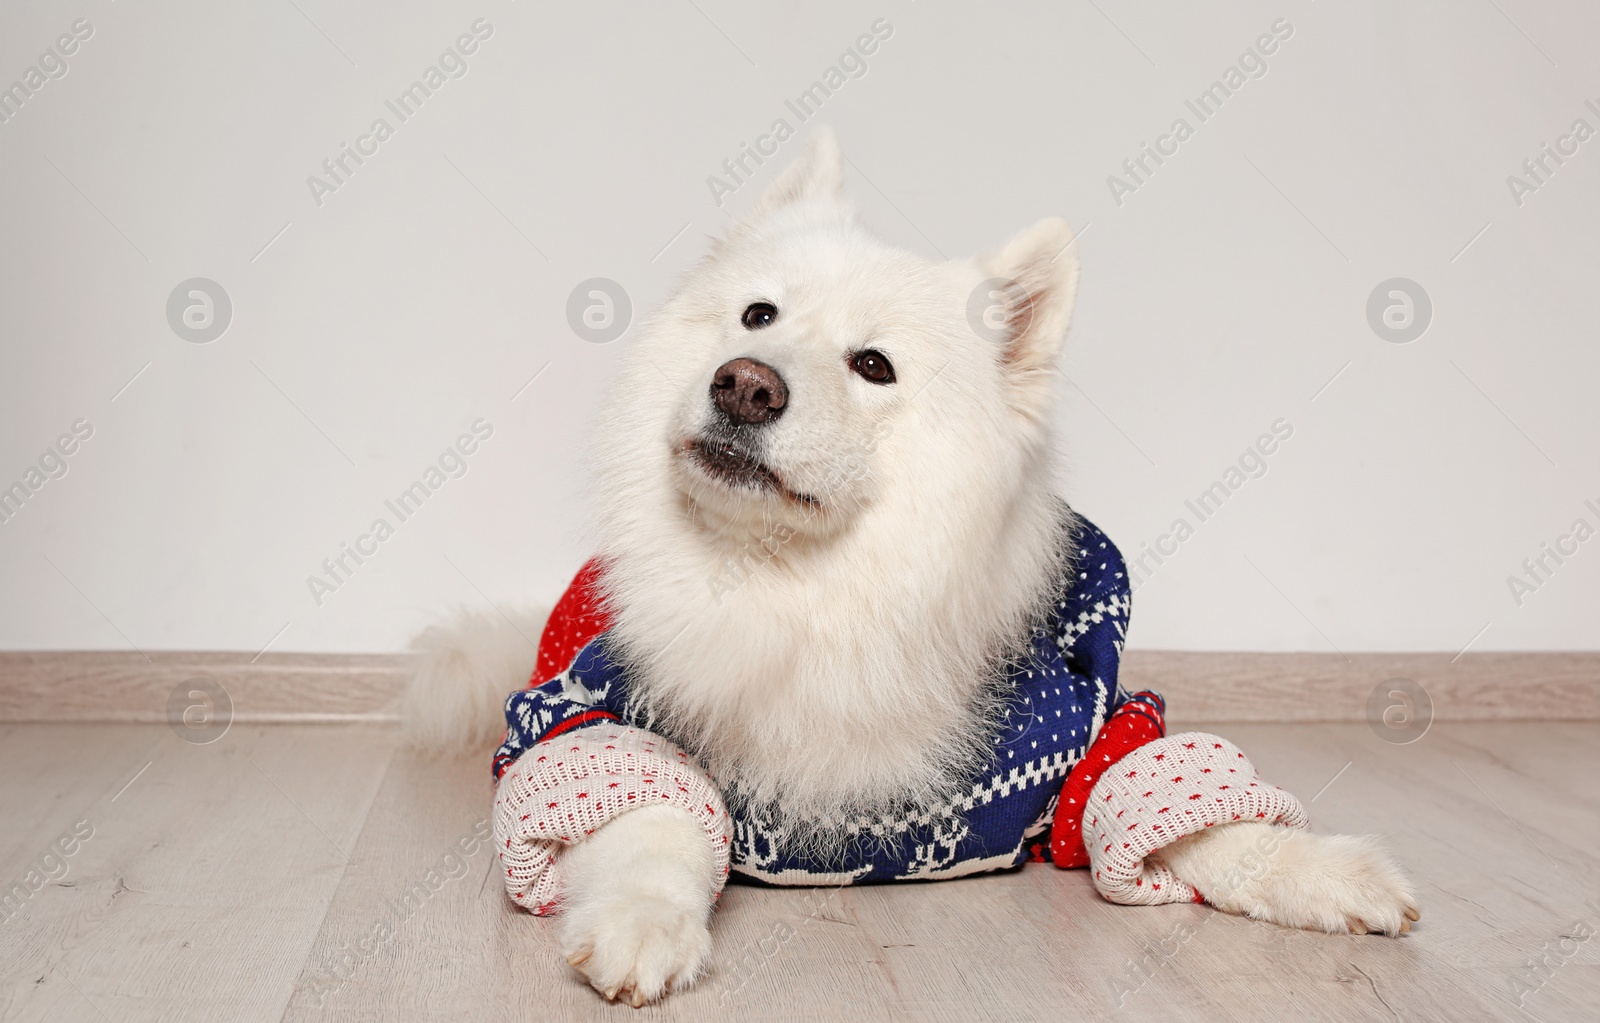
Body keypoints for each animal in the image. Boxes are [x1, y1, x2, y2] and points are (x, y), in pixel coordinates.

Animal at [409, 128, 1414, 1011]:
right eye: (758, 314)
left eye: (874, 365)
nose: (744, 382)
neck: (809, 590)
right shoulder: (579, 711)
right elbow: (655, 823)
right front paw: (641, 927)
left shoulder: (1092, 721)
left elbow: (1190, 807)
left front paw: (1326, 872)